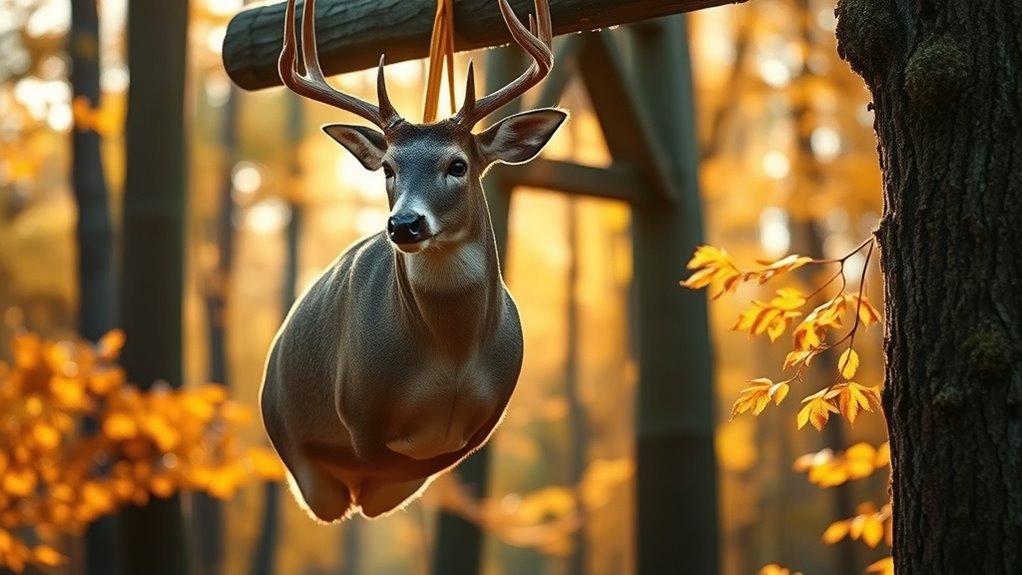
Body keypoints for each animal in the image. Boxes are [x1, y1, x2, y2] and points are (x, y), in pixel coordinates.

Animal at [261, 0, 565, 521]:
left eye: (458, 165)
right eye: (389, 168)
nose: (404, 225)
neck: (451, 355)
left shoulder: (488, 418)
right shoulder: (358, 409)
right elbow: (381, 456)